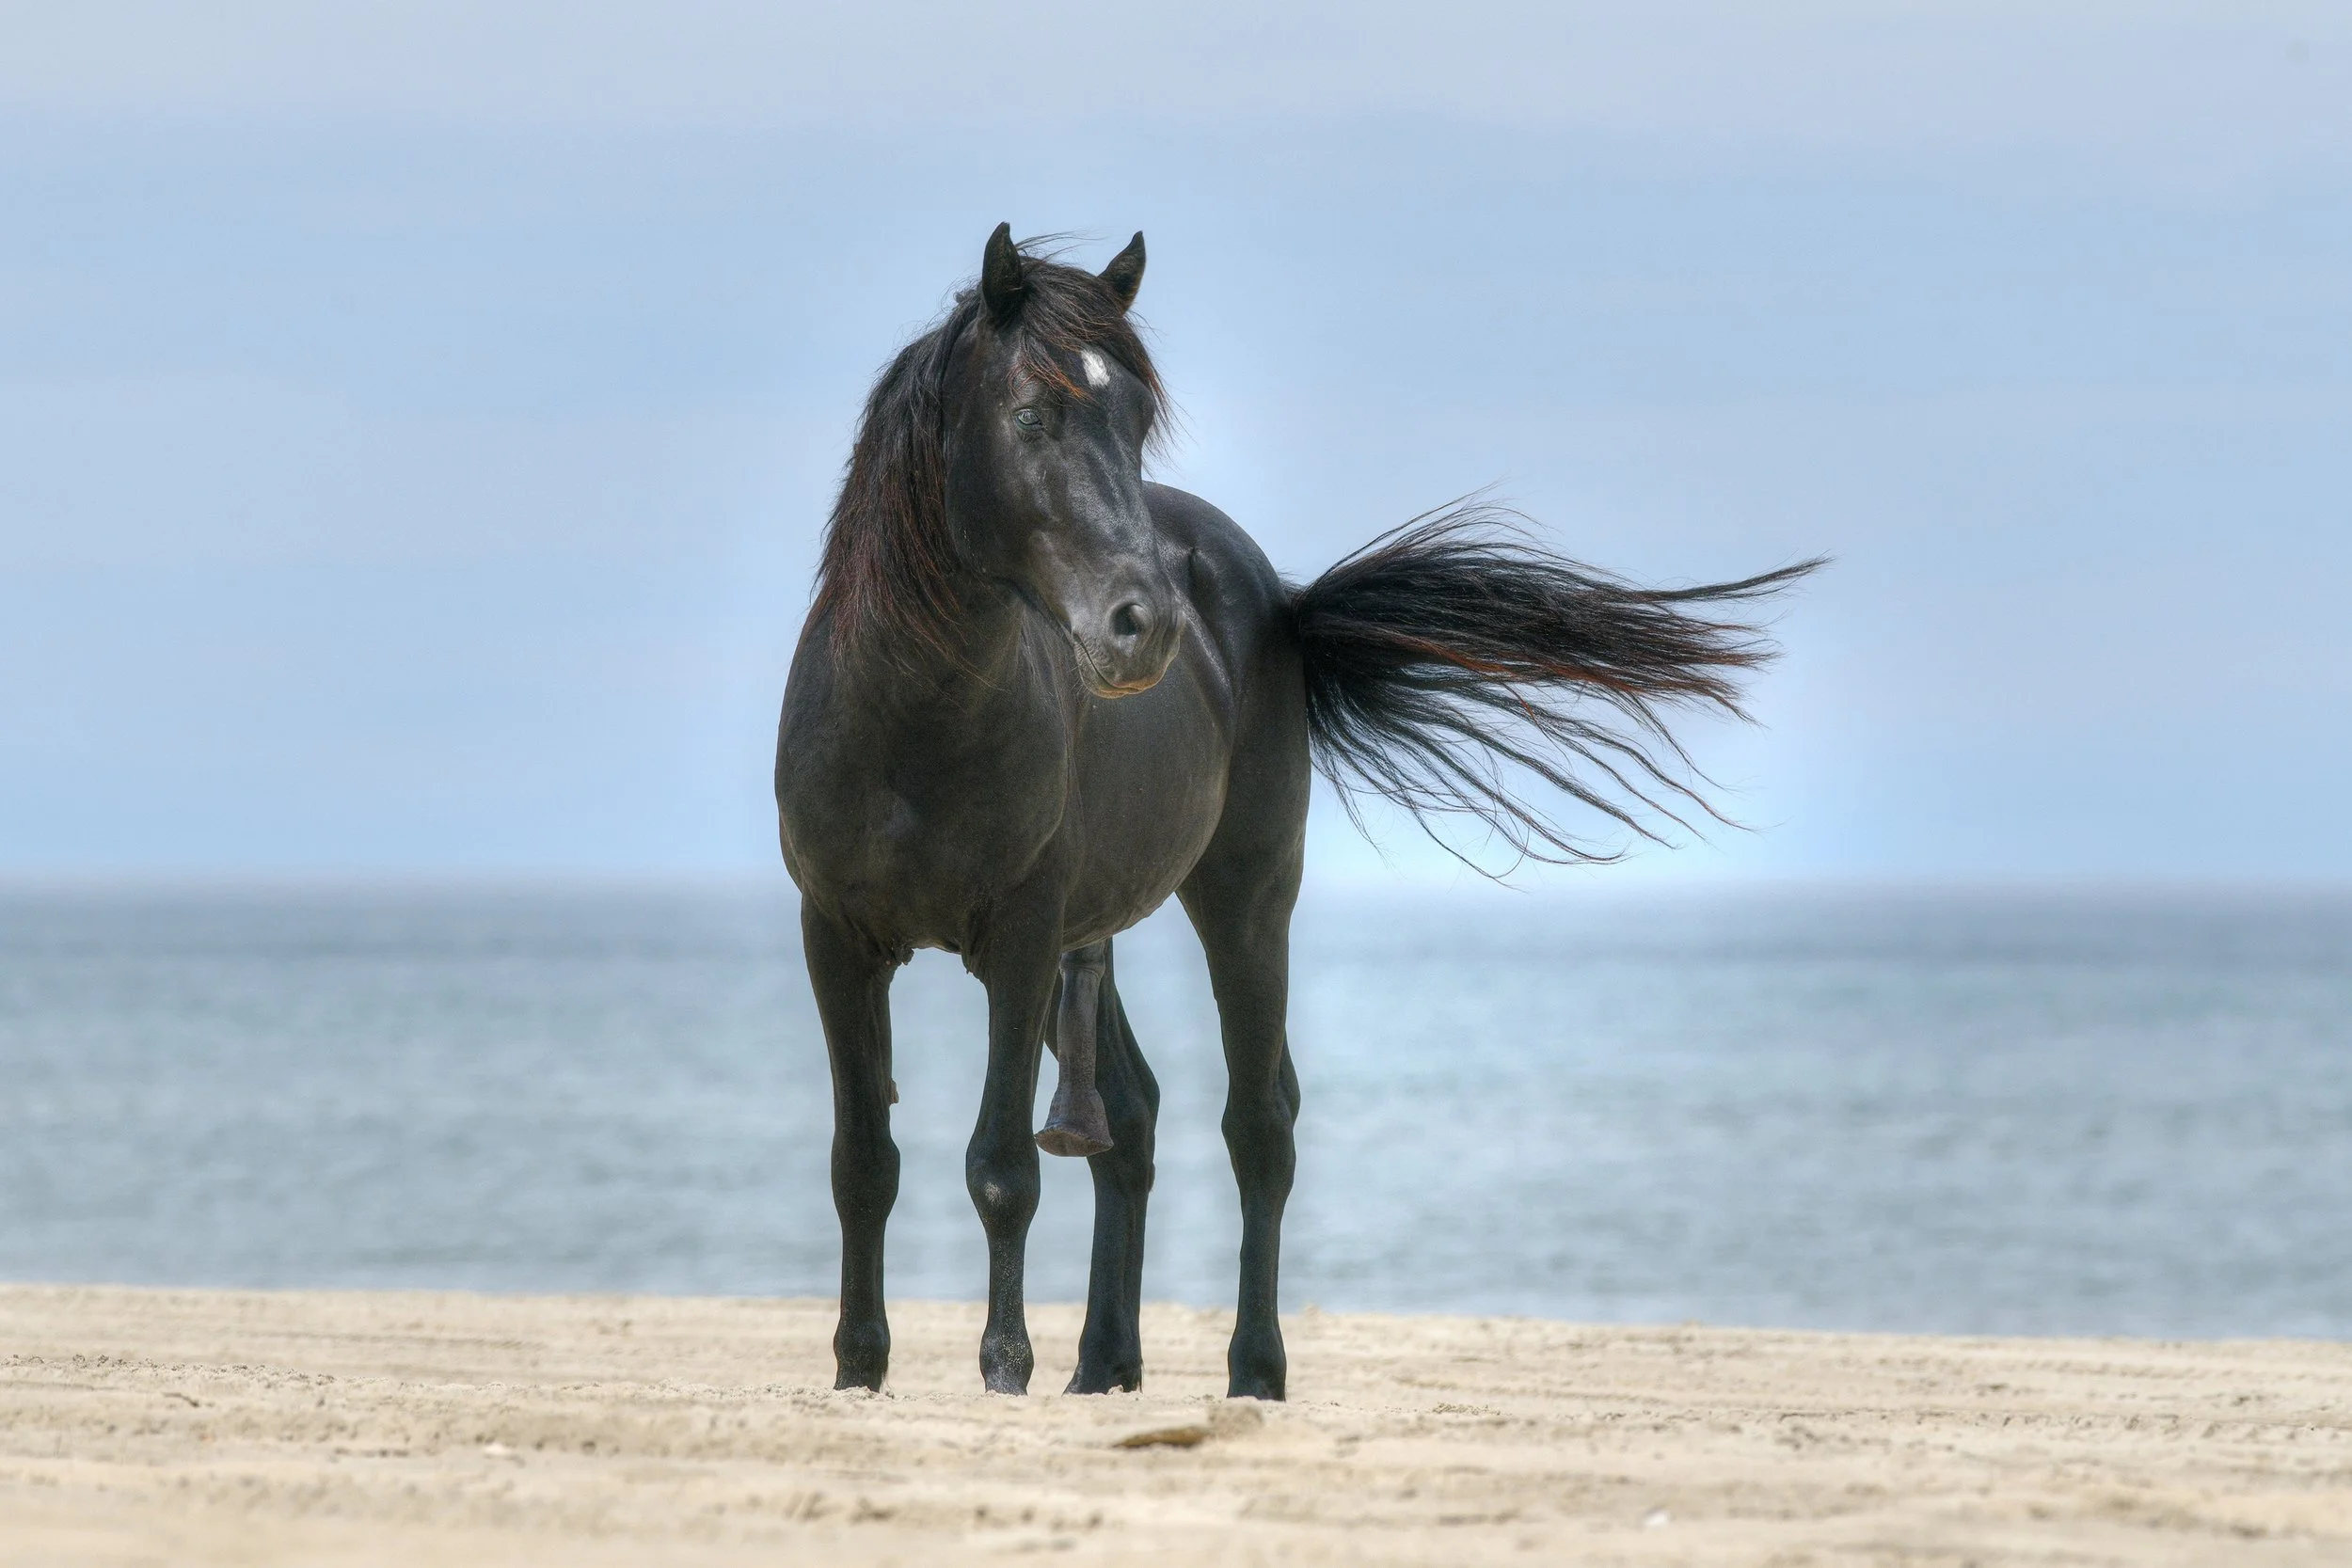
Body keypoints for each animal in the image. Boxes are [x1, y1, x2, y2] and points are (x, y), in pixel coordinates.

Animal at [775, 224, 1817, 1400]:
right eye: (1032, 413)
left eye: (1136, 422)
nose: (1144, 624)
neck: (912, 725)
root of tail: (1271, 594)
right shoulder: (837, 938)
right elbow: (863, 1162)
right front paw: (858, 1368)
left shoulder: (1021, 940)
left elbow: (1000, 1166)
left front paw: (1003, 1368)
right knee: (1129, 1115)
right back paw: (1103, 1365)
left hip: (1243, 895)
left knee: (1259, 1122)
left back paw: (1252, 1370)